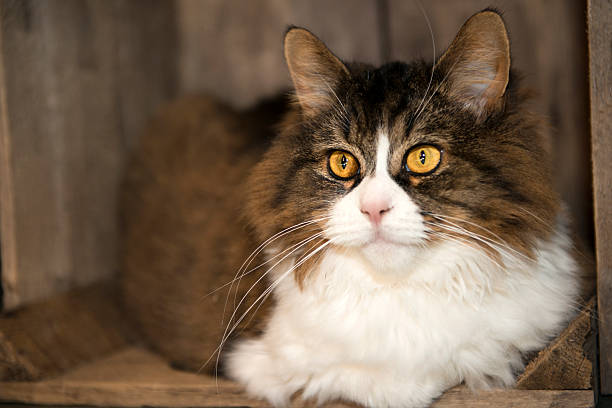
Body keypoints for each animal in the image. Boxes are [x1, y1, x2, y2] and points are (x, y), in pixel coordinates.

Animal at [123, 8, 588, 408]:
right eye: (342, 163)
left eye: (423, 157)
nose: (374, 209)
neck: (400, 290)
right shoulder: (265, 361)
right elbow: (390, 380)